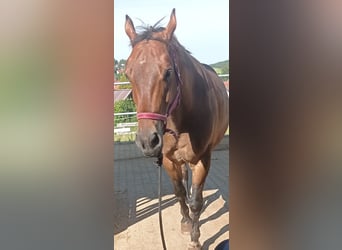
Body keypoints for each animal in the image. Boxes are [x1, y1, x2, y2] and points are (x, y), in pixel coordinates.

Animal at [124, 8, 228, 249]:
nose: (148, 141)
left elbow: (196, 201)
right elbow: (179, 193)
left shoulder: (203, 160)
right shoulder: (169, 160)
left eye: (168, 72)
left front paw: (195, 239)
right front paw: (185, 223)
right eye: (127, 74)